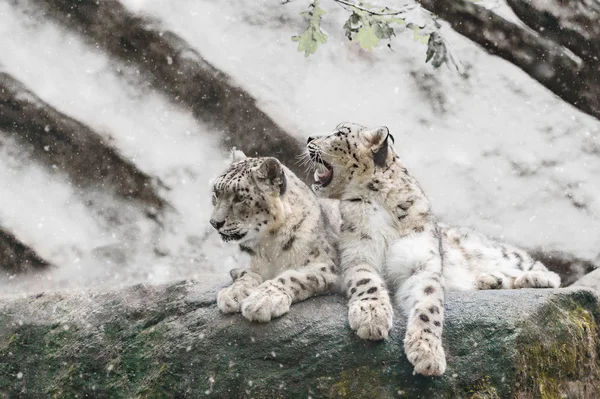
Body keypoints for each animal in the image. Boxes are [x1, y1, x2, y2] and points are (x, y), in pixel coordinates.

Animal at [210, 152, 342, 324]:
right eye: (215, 193)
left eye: (239, 198)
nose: (214, 223)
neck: (267, 246)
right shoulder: (245, 266)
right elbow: (247, 274)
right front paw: (233, 293)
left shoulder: (327, 266)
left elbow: (293, 277)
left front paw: (262, 300)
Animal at [308, 122, 560, 378]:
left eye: (339, 132)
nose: (308, 138)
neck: (378, 201)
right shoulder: (358, 253)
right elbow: (366, 282)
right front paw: (371, 317)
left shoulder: (422, 263)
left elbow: (429, 305)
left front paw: (427, 353)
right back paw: (491, 280)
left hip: (494, 251)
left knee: (538, 266)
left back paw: (535, 278)